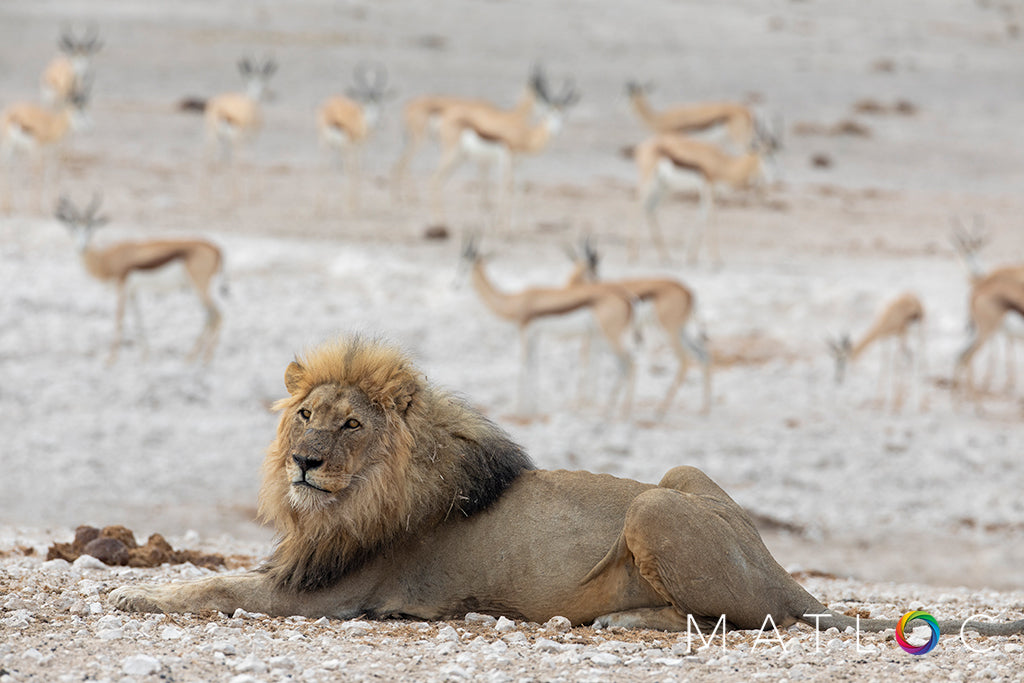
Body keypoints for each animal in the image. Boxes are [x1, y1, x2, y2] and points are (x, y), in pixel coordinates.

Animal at [110, 335, 1024, 634]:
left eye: (350, 425)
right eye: (305, 414)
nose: (304, 460)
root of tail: (786, 575)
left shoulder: (327, 593)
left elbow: (211, 588)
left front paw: (135, 595)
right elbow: (211, 579)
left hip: (656, 506)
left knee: (737, 618)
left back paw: (622, 618)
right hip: (680, 476)